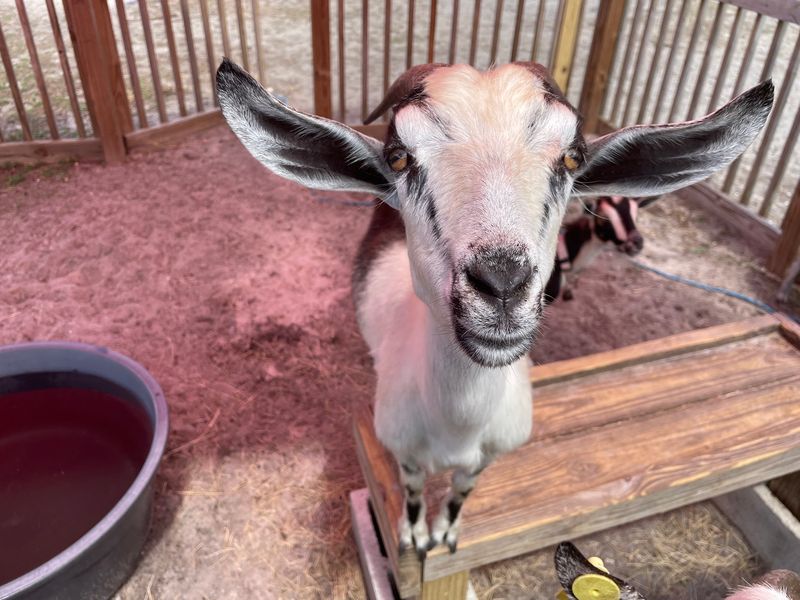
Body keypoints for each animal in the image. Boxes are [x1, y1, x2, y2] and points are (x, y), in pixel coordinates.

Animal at [215, 59, 772, 557]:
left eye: (572, 158)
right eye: (399, 157)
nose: (502, 286)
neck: (457, 426)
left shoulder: (488, 458)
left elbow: (461, 494)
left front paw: (446, 534)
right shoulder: (405, 453)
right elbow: (413, 495)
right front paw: (415, 537)